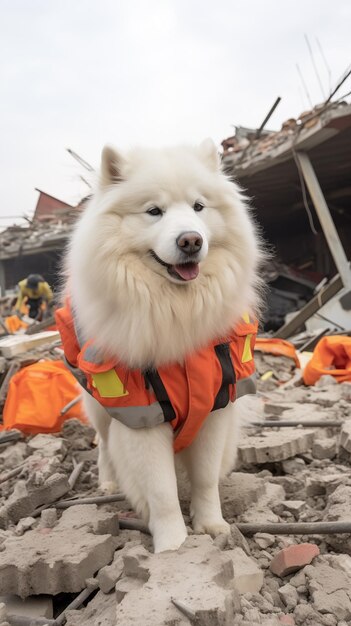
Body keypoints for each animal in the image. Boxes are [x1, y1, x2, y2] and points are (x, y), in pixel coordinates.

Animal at [59, 140, 262, 552]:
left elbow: (204, 478)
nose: (191, 240)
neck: (175, 312)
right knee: (104, 444)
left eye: (199, 206)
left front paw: (212, 525)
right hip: (99, 405)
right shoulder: (142, 415)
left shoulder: (215, 404)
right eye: (154, 211)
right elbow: (162, 490)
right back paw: (107, 480)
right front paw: (173, 545)